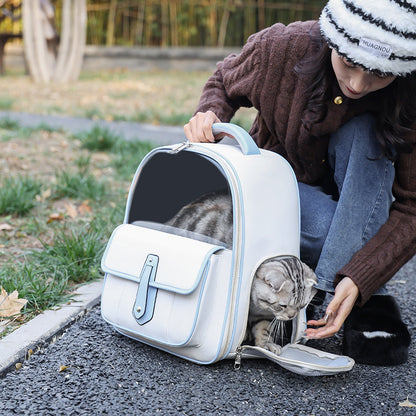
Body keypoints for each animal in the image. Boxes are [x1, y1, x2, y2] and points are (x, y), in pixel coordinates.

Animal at [164, 191, 316, 354]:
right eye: (283, 306)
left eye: (301, 306)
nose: (292, 316)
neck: (257, 306)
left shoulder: (265, 315)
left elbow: (263, 329)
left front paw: (265, 345)